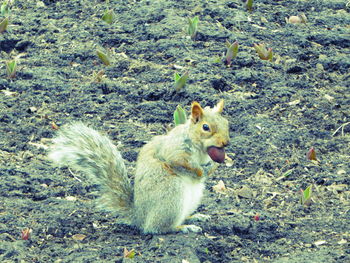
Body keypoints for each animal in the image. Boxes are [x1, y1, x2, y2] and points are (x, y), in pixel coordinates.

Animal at [48, 100, 230, 235]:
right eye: (205, 127)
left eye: (226, 123)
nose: (226, 143)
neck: (201, 150)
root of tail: (139, 217)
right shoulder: (173, 151)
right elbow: (179, 163)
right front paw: (201, 172)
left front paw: (212, 167)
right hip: (171, 195)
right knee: (158, 228)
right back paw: (184, 227)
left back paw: (194, 217)